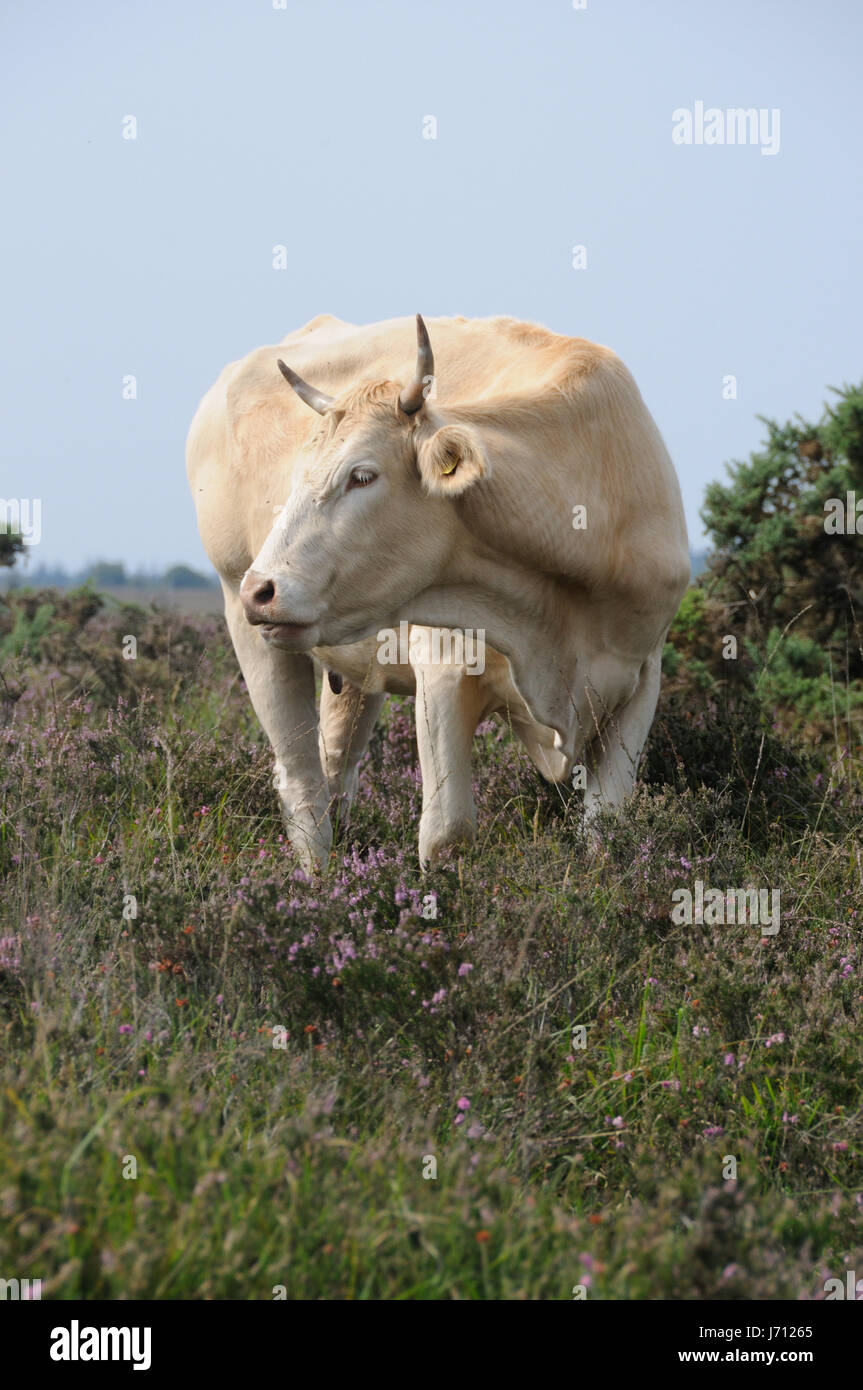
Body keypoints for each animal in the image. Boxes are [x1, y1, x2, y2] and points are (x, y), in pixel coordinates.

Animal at [188, 312, 686, 867]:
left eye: (362, 475)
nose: (261, 589)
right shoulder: (445, 670)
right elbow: (448, 833)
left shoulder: (640, 682)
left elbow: (606, 832)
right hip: (250, 628)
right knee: (302, 783)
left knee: (337, 767)